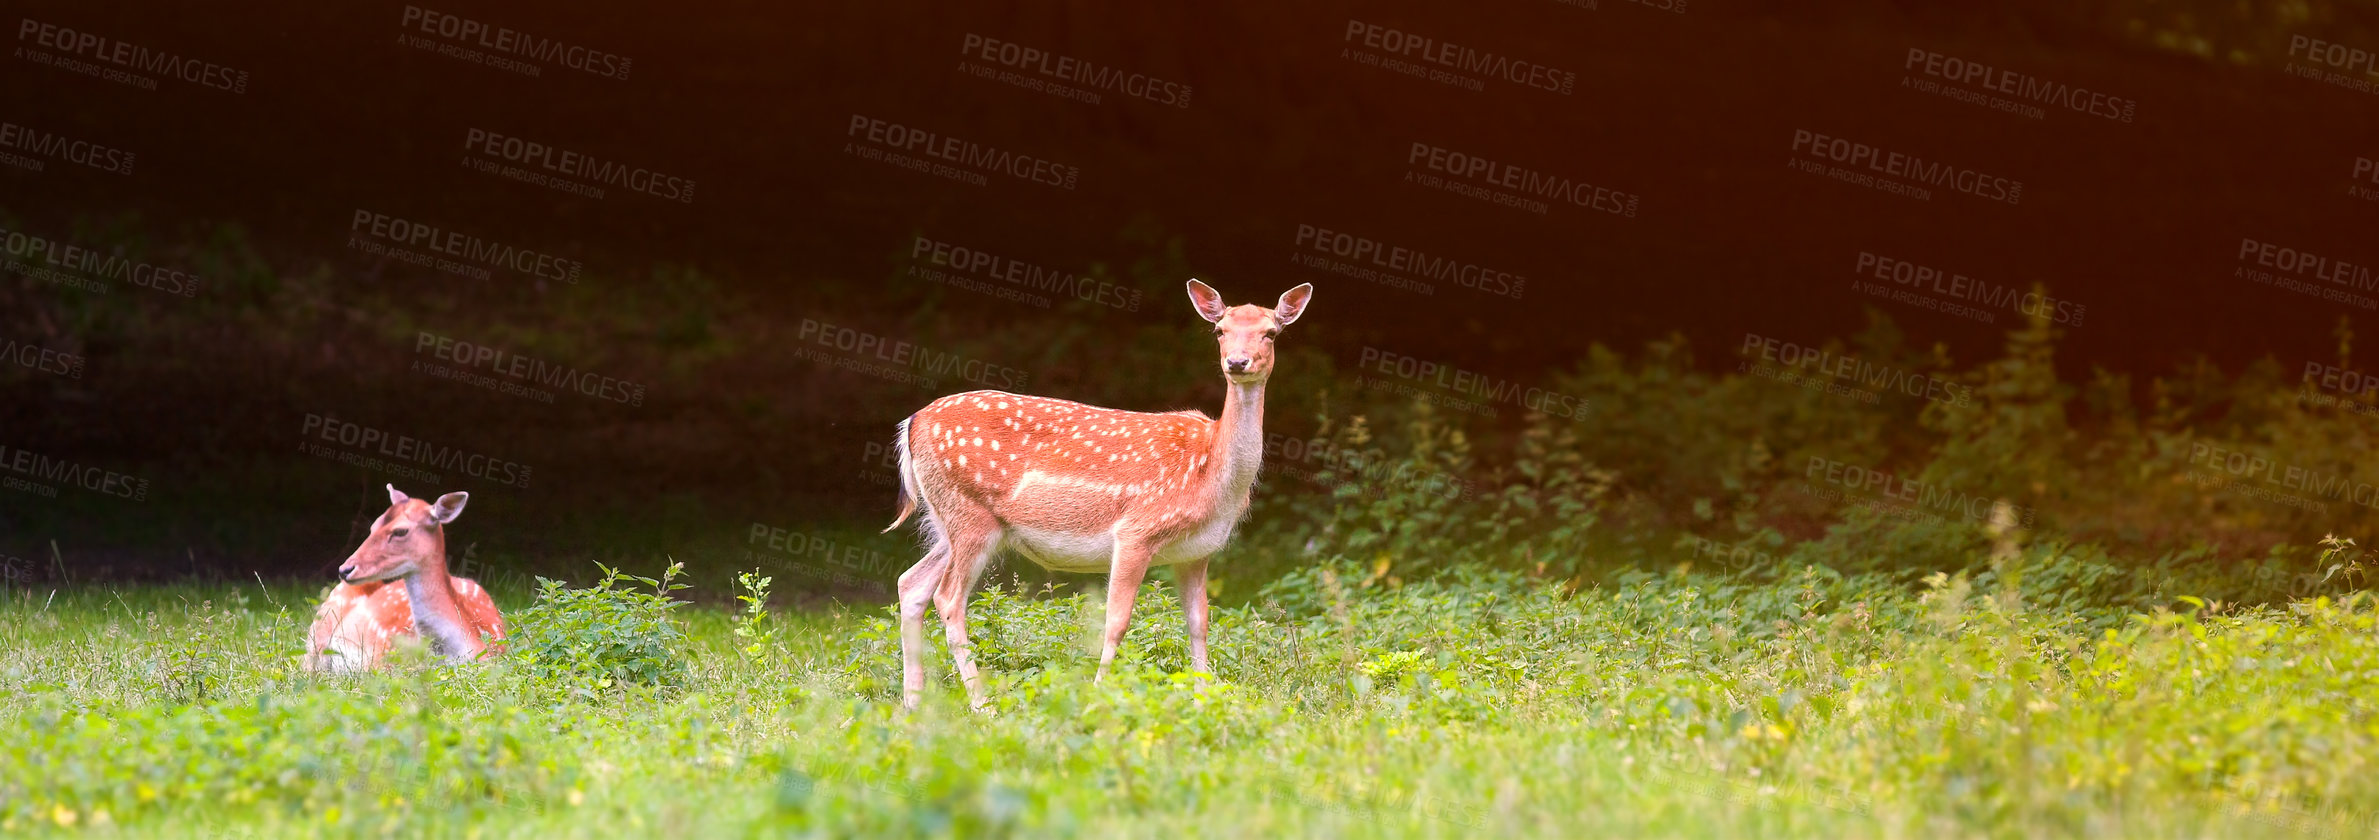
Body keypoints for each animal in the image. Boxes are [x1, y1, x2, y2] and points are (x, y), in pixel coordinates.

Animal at [884, 279, 1313, 704]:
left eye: (1271, 332)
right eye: (1219, 330)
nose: (1237, 362)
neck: (1210, 476)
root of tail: (912, 422)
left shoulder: (1197, 552)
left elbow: (1199, 622)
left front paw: (1204, 697)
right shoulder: (1136, 530)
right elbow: (1116, 621)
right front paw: (1099, 694)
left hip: (950, 520)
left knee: (911, 584)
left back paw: (913, 702)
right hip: (970, 515)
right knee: (947, 598)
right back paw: (981, 703)